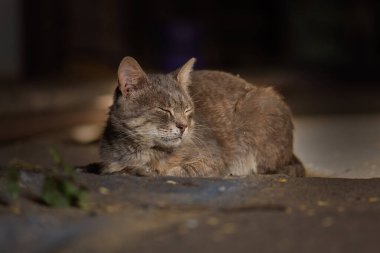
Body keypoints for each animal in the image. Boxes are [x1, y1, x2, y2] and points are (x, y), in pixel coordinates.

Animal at [98, 56, 306, 177]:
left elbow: (174, 171)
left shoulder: (214, 160)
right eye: (164, 109)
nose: (184, 126)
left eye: (187, 110)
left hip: (262, 103)